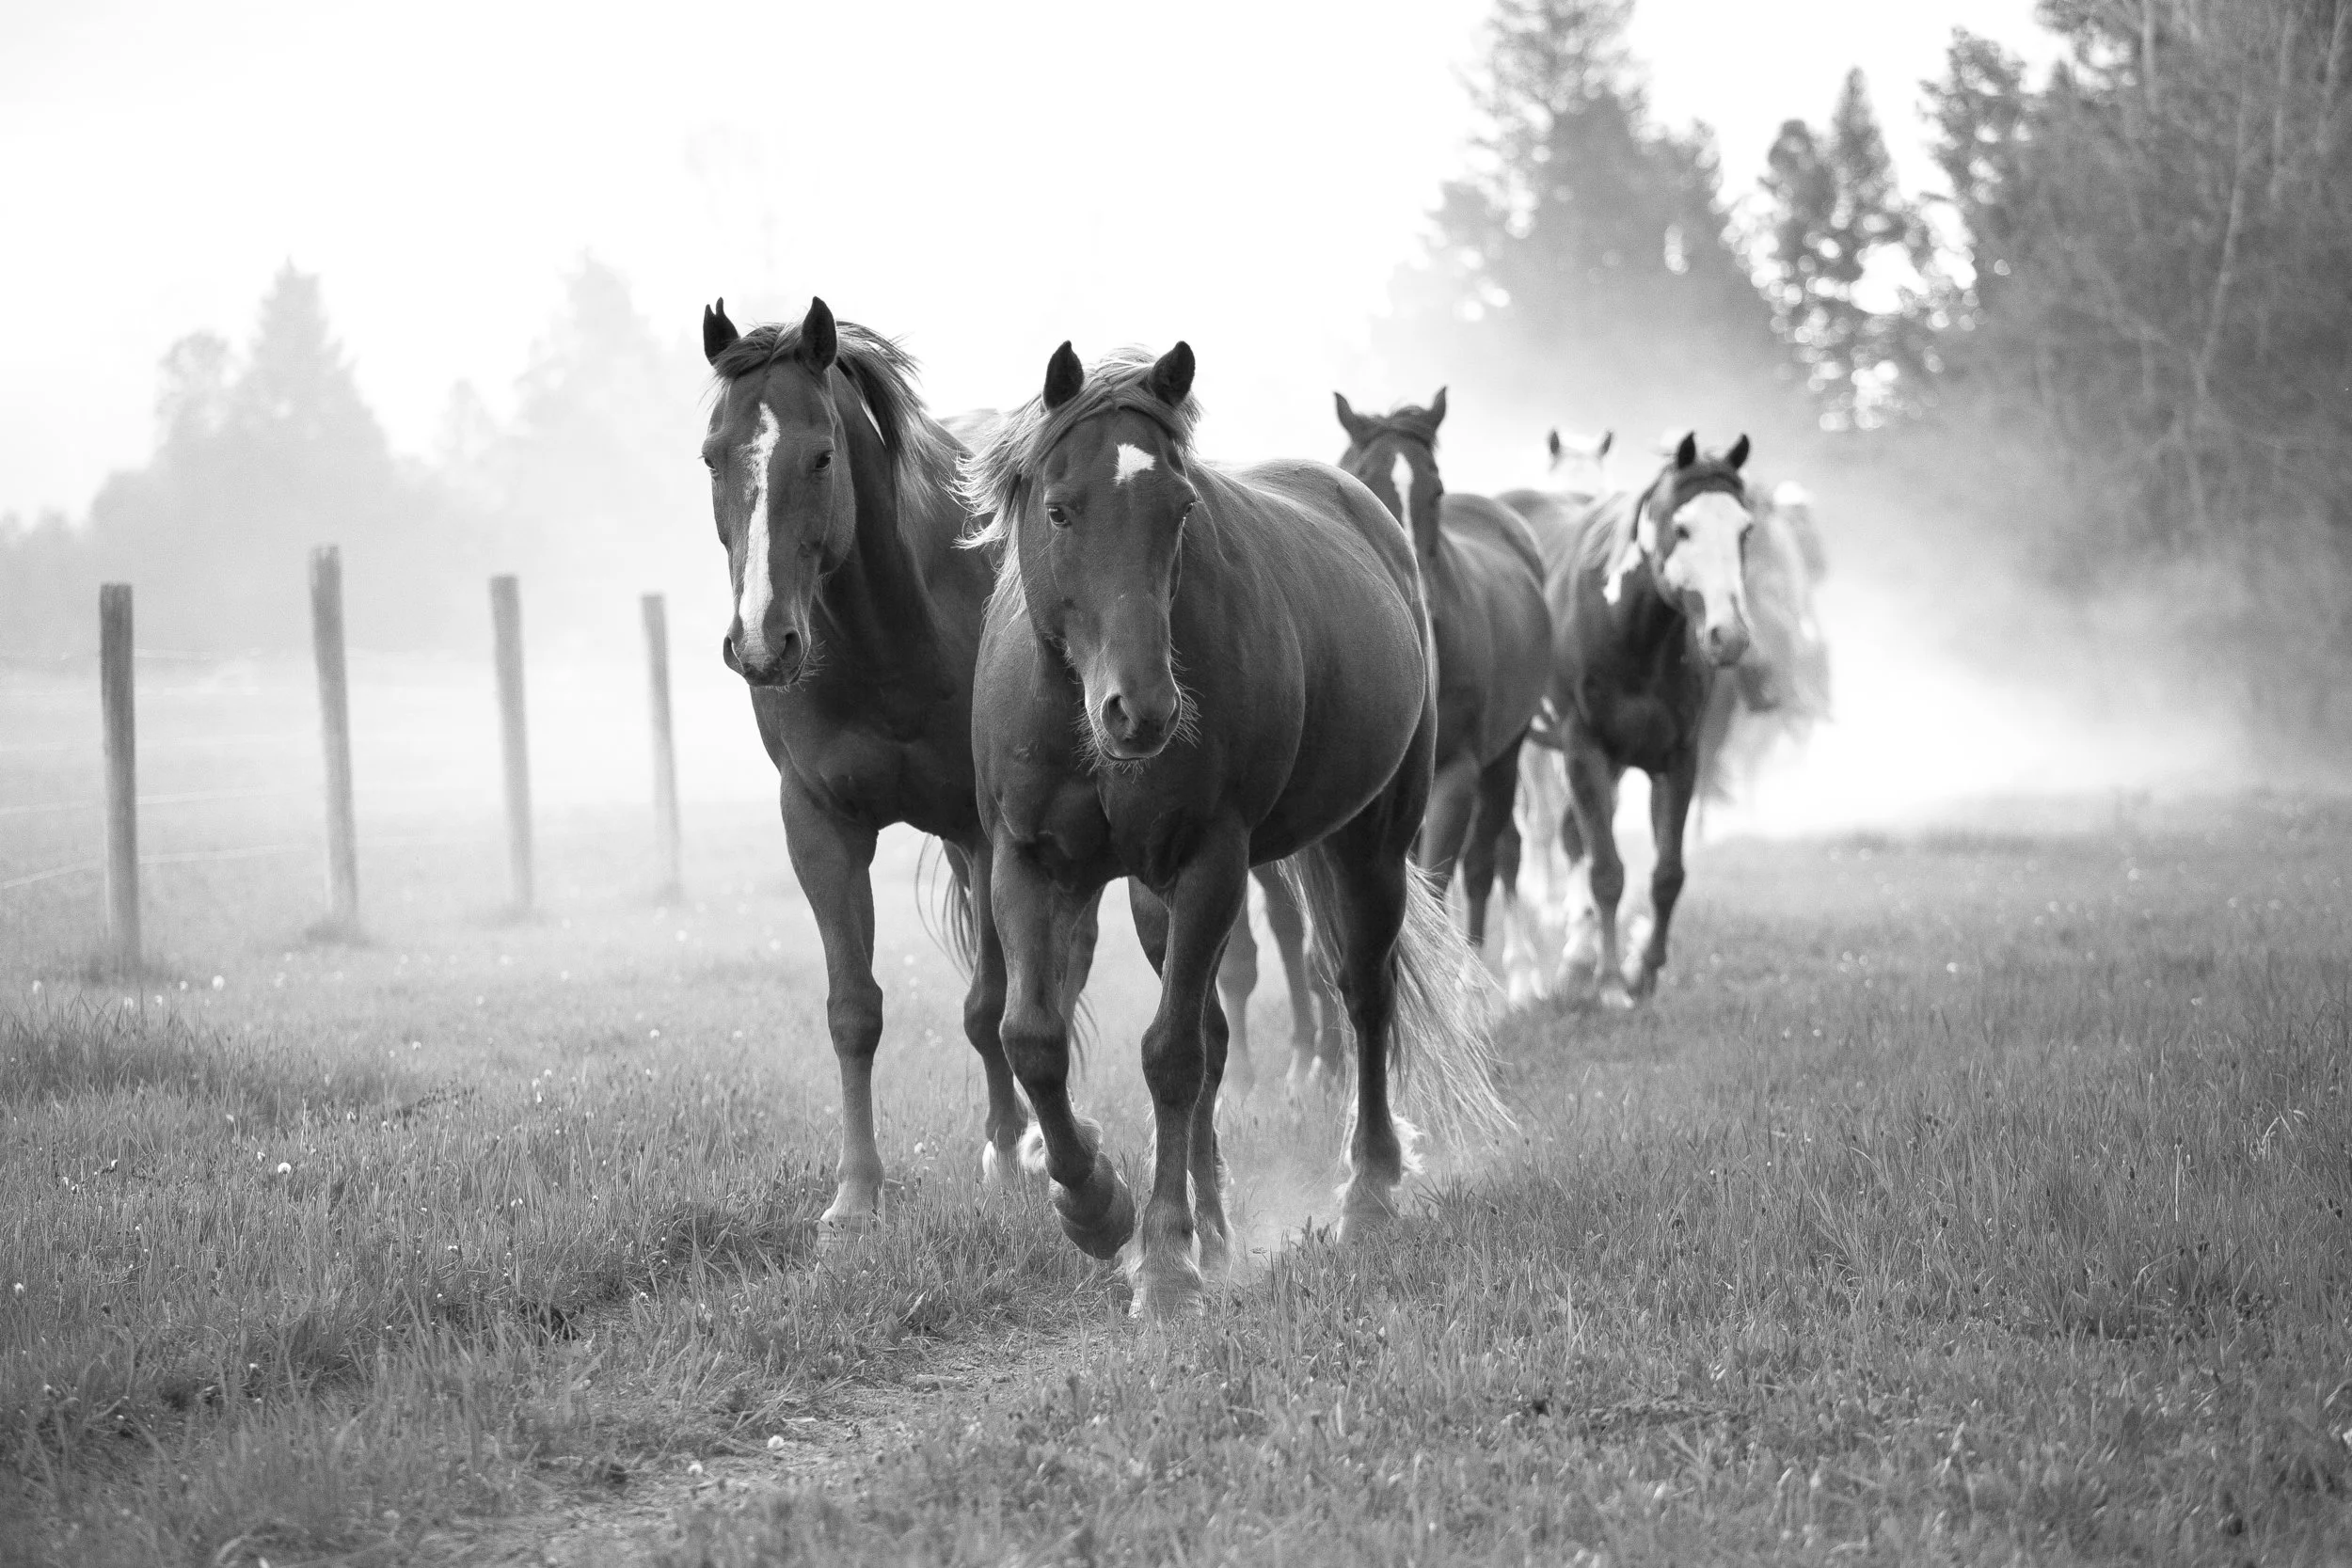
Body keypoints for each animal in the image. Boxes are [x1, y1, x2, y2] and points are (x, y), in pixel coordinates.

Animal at [698, 296, 1097, 1240]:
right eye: (711, 456)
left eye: (821, 455)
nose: (762, 642)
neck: (891, 633)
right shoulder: (819, 826)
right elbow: (854, 1010)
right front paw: (854, 1195)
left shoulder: (988, 833)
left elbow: (989, 1004)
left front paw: (1008, 1153)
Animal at [964, 341, 1511, 1316]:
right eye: (1059, 509)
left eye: (1180, 509)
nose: (1141, 711)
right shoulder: (1029, 864)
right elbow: (1035, 1037)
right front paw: (1094, 1201)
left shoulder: (1211, 861)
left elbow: (1173, 1053)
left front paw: (1164, 1257)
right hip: (1156, 896)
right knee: (1222, 1031)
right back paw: (1214, 1223)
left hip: (1370, 842)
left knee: (1361, 996)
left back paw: (1368, 1191)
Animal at [1516, 432, 1758, 1007]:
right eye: (1683, 527)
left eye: (1745, 530)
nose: (1729, 635)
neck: (1629, 628)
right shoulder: (1583, 750)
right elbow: (1606, 870)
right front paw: (1609, 983)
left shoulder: (1677, 759)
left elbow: (1667, 873)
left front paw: (1641, 971)